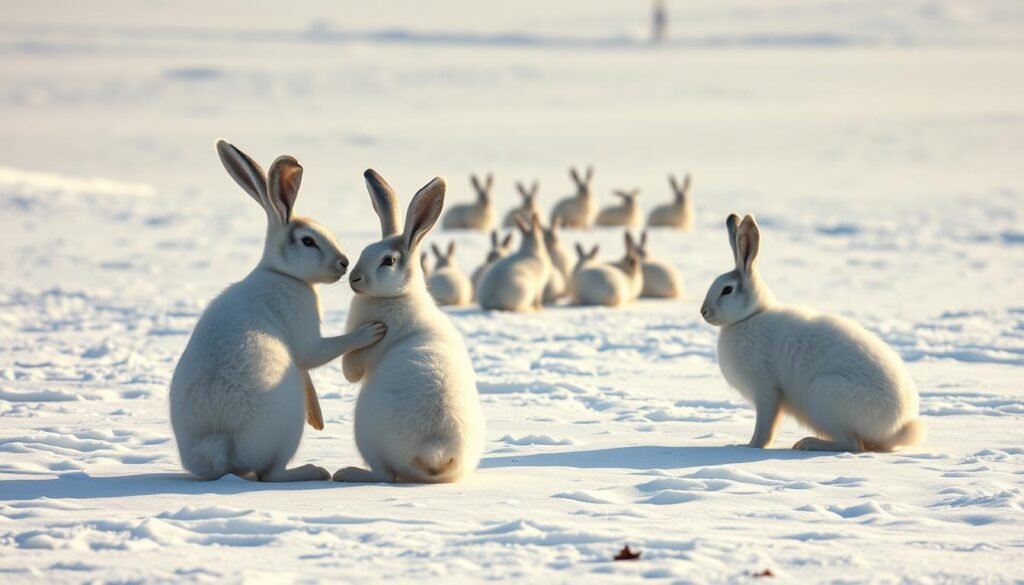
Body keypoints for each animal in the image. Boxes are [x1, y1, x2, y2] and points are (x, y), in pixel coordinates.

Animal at [169, 140, 386, 482]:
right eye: (309, 241)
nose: (344, 263)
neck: (282, 273)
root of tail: (218, 445)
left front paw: (318, 418)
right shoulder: (303, 326)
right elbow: (316, 352)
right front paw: (371, 331)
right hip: (286, 430)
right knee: (271, 473)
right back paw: (313, 471)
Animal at [335, 170, 485, 483]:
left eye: (388, 261)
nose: (354, 278)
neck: (399, 295)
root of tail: (434, 451)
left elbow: (353, 368)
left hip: (366, 434)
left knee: (384, 475)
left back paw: (347, 473)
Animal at [700, 214, 925, 452]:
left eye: (727, 290)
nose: (703, 312)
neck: (750, 316)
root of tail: (897, 429)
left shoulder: (766, 390)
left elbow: (765, 425)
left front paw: (749, 446)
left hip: (825, 396)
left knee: (853, 444)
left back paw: (807, 443)